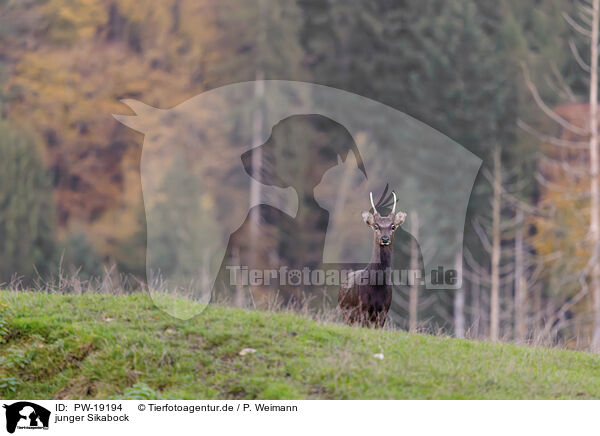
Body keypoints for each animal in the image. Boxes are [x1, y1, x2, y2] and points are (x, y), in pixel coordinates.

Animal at [338, 191, 408, 328]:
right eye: (376, 226)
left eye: (393, 226)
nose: (385, 238)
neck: (377, 286)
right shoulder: (363, 308)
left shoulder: (384, 311)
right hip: (345, 313)